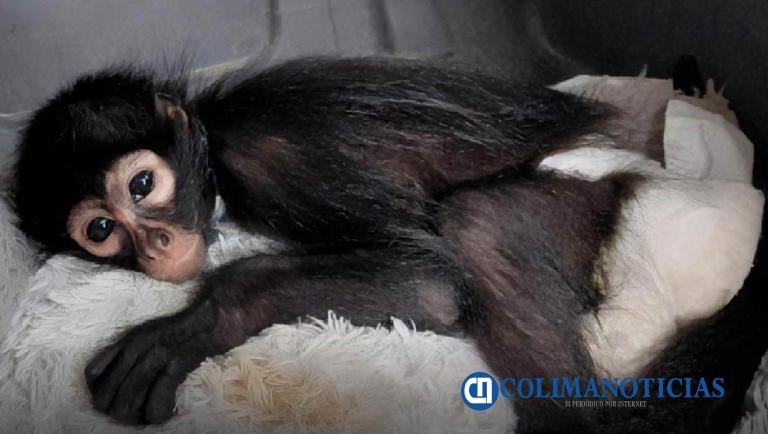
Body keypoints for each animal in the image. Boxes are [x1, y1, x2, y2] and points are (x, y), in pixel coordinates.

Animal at [11, 57, 767, 433]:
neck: (213, 137)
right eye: (101, 230)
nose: (158, 242)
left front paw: (188, 329)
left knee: (479, 222)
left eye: (142, 185)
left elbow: (433, 286)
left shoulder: (282, 153)